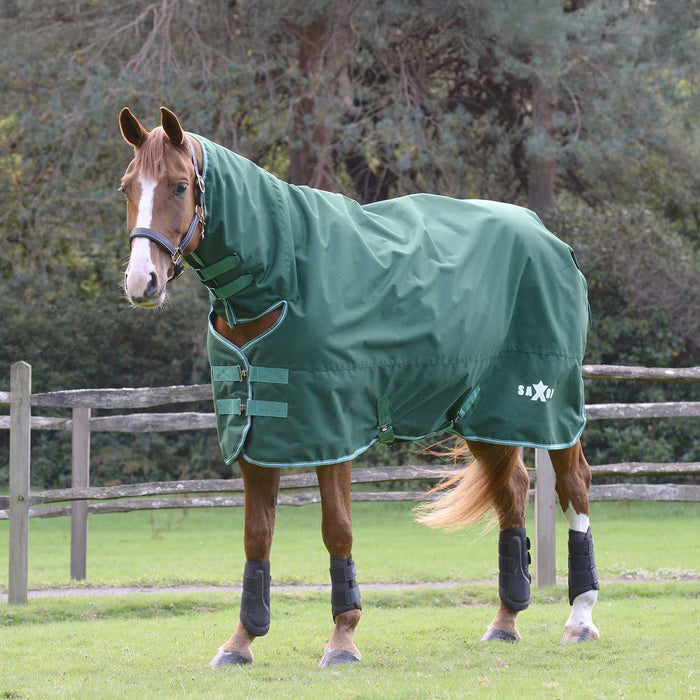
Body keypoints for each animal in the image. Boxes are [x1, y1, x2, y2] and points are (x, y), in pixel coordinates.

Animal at [118, 106, 600, 667]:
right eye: (127, 187)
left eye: (178, 186)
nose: (142, 282)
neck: (282, 279)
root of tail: (548, 236)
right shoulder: (255, 436)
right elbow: (257, 538)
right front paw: (241, 642)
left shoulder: (331, 432)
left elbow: (338, 529)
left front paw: (343, 639)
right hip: (483, 412)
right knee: (513, 492)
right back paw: (505, 620)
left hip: (545, 405)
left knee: (574, 486)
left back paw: (580, 618)